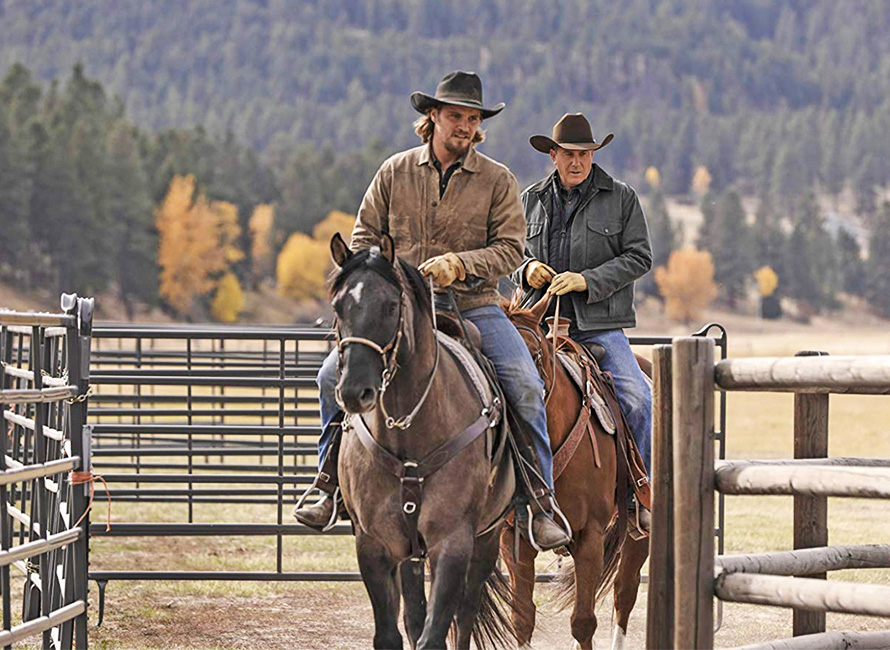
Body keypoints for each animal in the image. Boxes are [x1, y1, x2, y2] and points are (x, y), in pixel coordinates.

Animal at [328, 232, 516, 650]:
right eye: (338, 305)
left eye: (390, 305)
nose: (354, 392)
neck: (407, 430)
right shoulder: (373, 545)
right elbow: (392, 633)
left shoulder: (453, 543)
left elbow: (438, 630)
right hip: (411, 551)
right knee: (415, 614)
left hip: (487, 537)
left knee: (465, 613)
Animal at [500, 292, 651, 650]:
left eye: (535, 352)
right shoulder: (513, 537)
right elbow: (522, 617)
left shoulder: (590, 534)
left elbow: (583, 622)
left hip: (638, 535)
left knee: (624, 594)